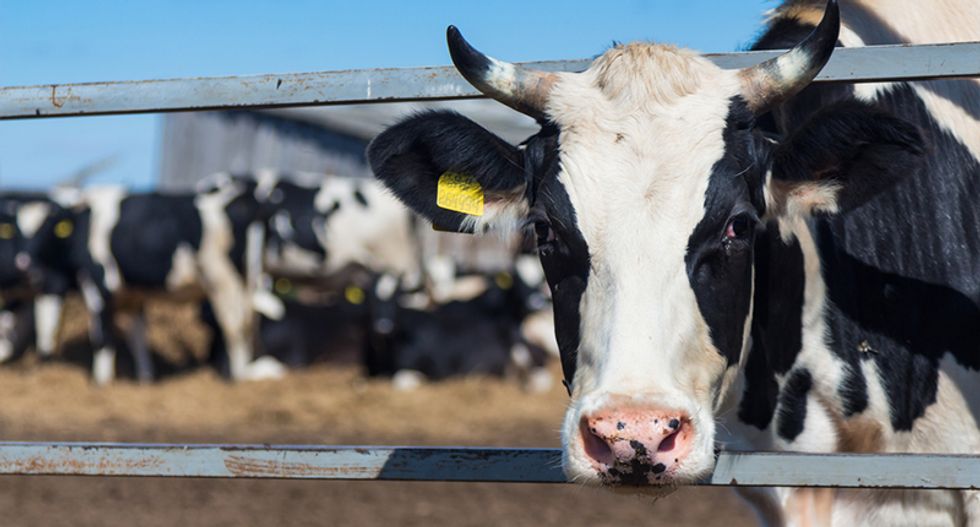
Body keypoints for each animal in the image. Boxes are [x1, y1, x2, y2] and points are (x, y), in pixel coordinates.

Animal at [19, 182, 277, 385]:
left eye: (47, 227)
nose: (26, 263)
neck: (83, 222)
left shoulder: (98, 284)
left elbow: (103, 337)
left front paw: (101, 382)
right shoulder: (133, 295)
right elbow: (138, 337)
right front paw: (145, 379)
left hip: (222, 279)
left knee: (235, 325)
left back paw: (236, 378)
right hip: (245, 278)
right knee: (246, 321)